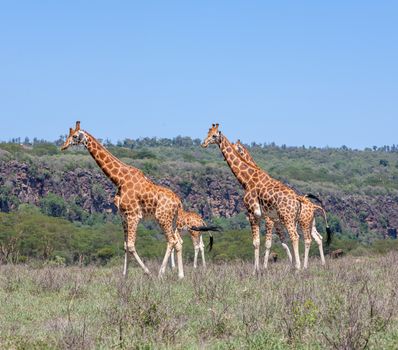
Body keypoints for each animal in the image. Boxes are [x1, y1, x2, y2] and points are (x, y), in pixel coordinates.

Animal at [60, 121, 208, 278]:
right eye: (68, 135)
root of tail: (179, 203)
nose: (63, 146)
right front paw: (124, 276)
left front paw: (147, 272)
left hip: (162, 218)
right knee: (178, 242)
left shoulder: (133, 215)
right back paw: (180, 275)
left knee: (172, 241)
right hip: (172, 221)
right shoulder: (123, 217)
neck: (119, 179)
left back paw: (160, 273)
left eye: (74, 136)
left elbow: (131, 246)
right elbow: (125, 245)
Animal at [201, 124, 304, 272]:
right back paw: (296, 266)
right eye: (207, 133)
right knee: (296, 238)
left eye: (214, 136)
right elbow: (260, 242)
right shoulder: (261, 216)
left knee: (295, 237)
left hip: (286, 217)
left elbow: (256, 243)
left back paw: (297, 268)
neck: (247, 181)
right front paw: (259, 268)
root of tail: (297, 200)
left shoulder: (252, 213)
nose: (203, 143)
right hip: (291, 219)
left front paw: (256, 270)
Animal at [233, 139, 330, 268]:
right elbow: (284, 244)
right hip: (310, 223)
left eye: (237, 148)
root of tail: (313, 205)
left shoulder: (270, 221)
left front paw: (264, 267)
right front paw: (291, 264)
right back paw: (321, 264)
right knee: (318, 238)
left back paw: (306, 266)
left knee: (308, 239)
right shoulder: (277, 224)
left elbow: (270, 243)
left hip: (303, 223)